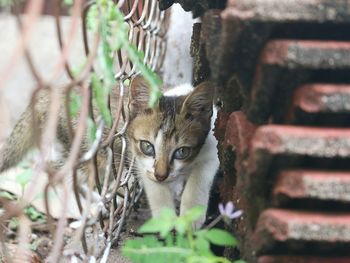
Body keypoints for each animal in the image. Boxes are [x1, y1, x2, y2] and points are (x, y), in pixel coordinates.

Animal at [127, 76, 217, 229]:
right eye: (147, 146)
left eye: (182, 151)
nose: (161, 175)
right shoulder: (142, 162)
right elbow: (155, 186)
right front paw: (165, 218)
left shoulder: (213, 149)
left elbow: (199, 177)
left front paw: (190, 215)